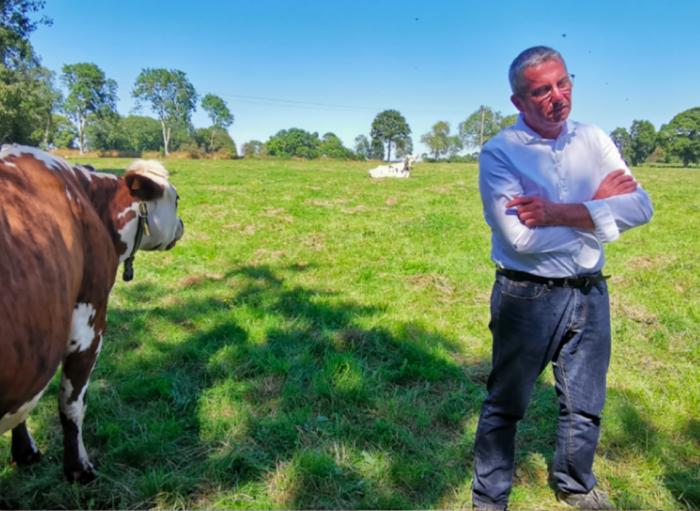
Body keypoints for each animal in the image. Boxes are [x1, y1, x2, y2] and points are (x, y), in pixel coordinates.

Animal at [0, 145, 183, 484]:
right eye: (176, 199)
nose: (182, 226)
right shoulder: (89, 324)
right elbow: (71, 404)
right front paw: (79, 468)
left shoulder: (35, 352)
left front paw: (25, 453)